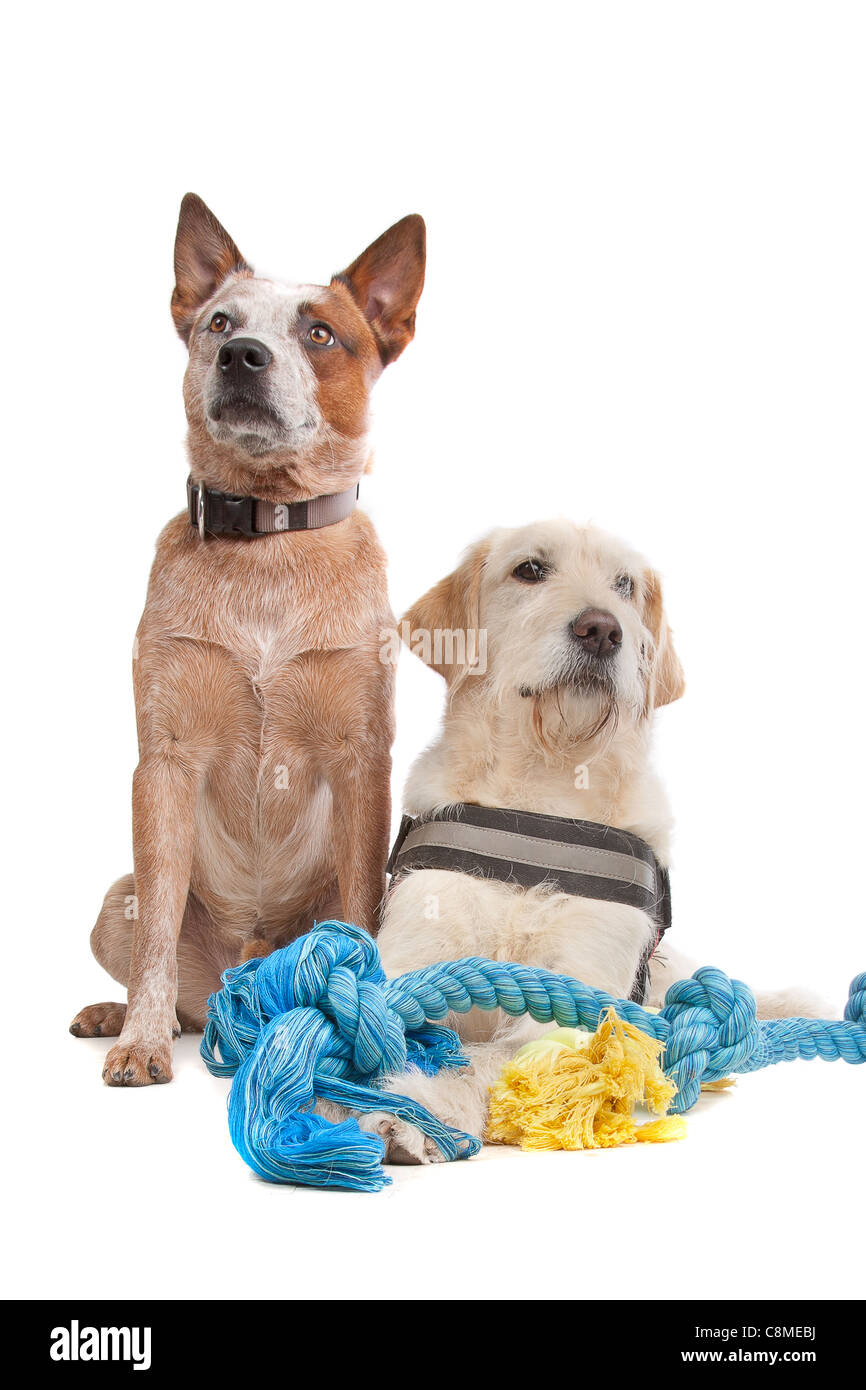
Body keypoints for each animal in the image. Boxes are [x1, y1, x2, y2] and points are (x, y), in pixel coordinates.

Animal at [69, 195, 425, 1084]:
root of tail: (248, 963)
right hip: (114, 901)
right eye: (219, 321)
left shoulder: (361, 758)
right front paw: (139, 1039)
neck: (270, 541)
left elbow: (363, 912)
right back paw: (123, 1015)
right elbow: (158, 934)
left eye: (321, 332)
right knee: (174, 978)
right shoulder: (163, 761)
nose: (241, 355)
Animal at [354, 522, 817, 1162]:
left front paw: (423, 1109)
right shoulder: (416, 953)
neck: (546, 785)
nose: (601, 629)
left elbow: (493, 1060)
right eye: (529, 569)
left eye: (625, 585)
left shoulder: (579, 992)